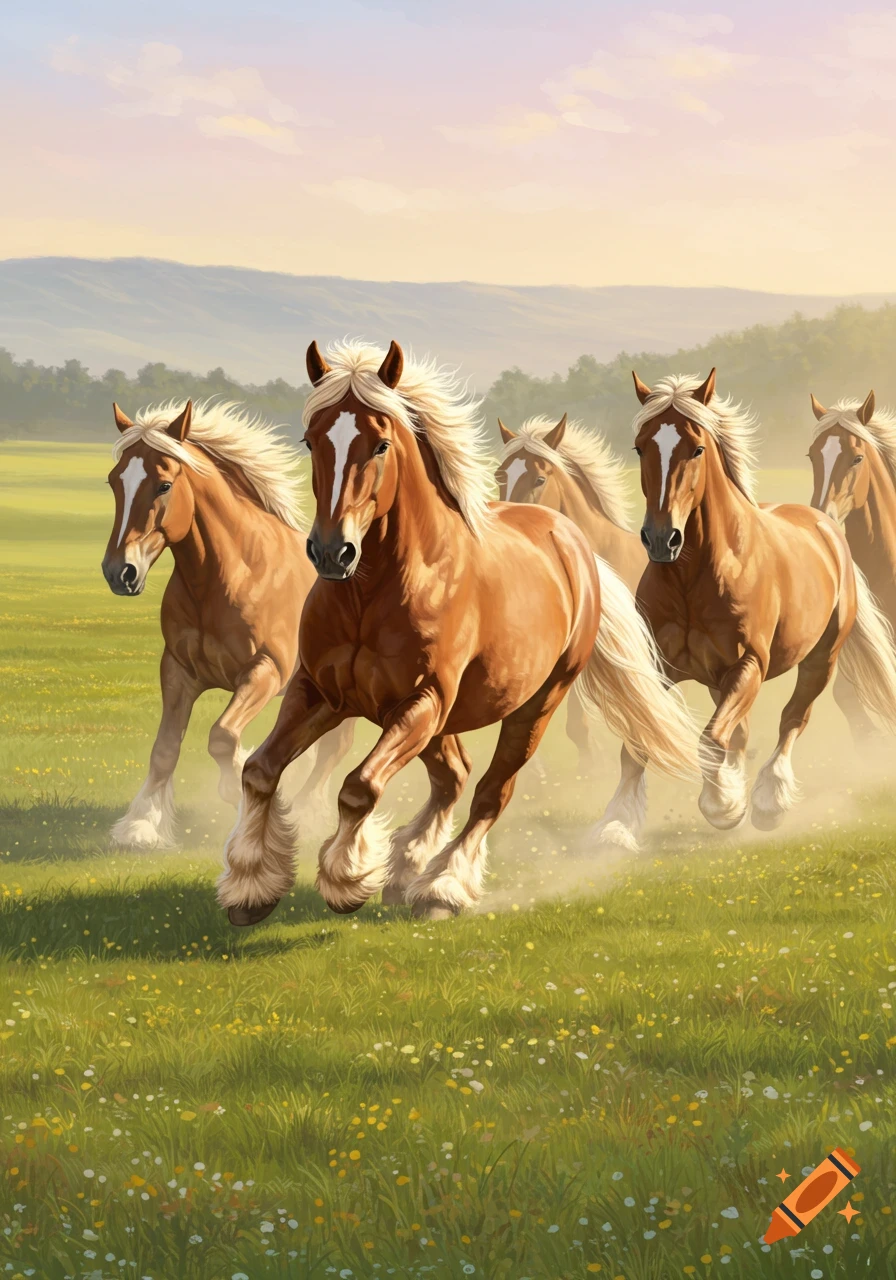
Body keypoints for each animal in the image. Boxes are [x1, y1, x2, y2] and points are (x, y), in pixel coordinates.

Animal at [101, 398, 354, 849]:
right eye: (115, 481)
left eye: (163, 485)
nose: (120, 572)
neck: (230, 576)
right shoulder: (178, 671)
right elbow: (165, 749)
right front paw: (141, 826)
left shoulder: (265, 672)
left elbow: (222, 737)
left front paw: (238, 785)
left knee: (334, 750)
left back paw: (306, 816)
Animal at [629, 367, 896, 833]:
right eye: (640, 447)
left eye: (697, 448)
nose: (662, 539)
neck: (695, 578)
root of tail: (825, 525)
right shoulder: (662, 668)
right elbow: (641, 741)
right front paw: (614, 826)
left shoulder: (748, 663)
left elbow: (712, 740)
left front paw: (722, 805)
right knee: (742, 732)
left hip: (820, 659)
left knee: (793, 717)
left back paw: (769, 800)